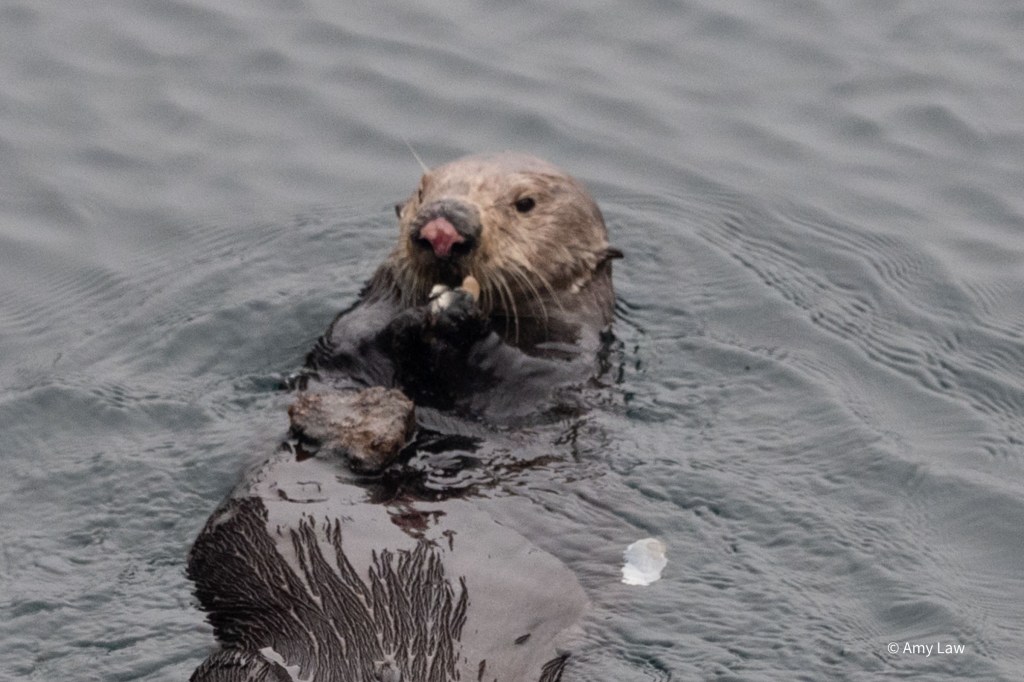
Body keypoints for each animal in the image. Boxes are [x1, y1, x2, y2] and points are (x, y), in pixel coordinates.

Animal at [188, 153, 619, 682]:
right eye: (423, 189)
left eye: (525, 203)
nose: (443, 225)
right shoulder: (353, 329)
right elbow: (354, 345)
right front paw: (419, 319)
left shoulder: (561, 369)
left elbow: (521, 382)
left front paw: (459, 318)